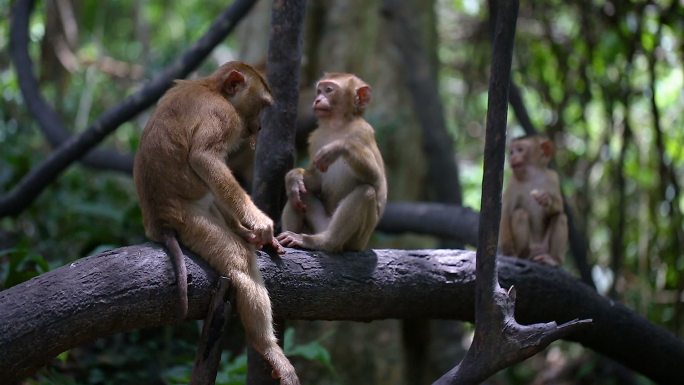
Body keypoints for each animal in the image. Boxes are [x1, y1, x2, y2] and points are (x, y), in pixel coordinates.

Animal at [134, 61, 300, 382]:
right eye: (261, 105)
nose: (259, 127)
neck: (211, 87)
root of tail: (159, 224)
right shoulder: (224, 116)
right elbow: (205, 158)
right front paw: (260, 223)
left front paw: (258, 232)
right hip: (192, 222)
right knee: (240, 262)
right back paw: (266, 346)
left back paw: (244, 233)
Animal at [276, 73, 384, 250]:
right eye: (319, 91)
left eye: (328, 90)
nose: (318, 99)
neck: (337, 127)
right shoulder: (316, 138)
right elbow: (316, 181)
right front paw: (294, 176)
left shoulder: (363, 132)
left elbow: (376, 179)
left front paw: (338, 147)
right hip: (319, 224)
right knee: (298, 196)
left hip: (357, 241)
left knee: (366, 192)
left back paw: (322, 242)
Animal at [500, 134, 568, 266]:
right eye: (511, 151)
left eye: (520, 149)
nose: (512, 157)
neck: (532, 175)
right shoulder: (512, 183)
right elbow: (505, 213)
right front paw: (509, 253)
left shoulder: (553, 177)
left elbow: (559, 207)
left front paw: (546, 199)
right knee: (520, 214)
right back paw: (523, 254)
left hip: (544, 247)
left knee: (561, 217)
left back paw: (553, 259)